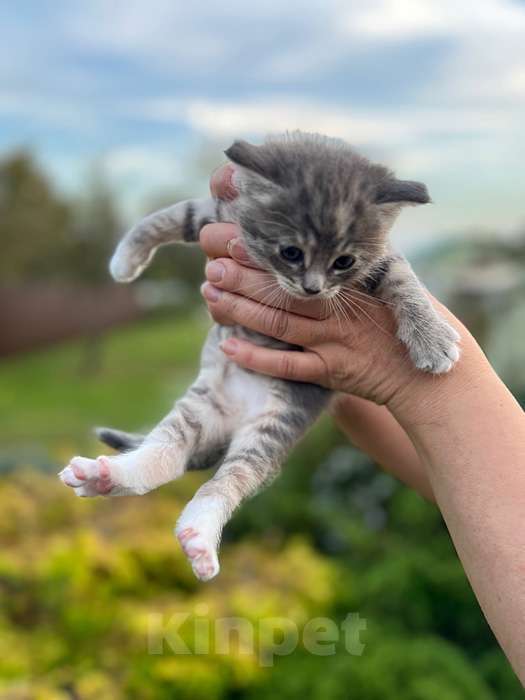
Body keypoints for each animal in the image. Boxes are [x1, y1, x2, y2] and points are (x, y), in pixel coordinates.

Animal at [58, 131, 458, 580]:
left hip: (271, 429)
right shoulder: (219, 212)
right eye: (291, 253)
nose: (313, 289)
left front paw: (431, 338)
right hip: (201, 408)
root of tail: (232, 421)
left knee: (230, 478)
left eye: (343, 261)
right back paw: (108, 475)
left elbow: (404, 279)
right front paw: (125, 257)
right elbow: (170, 214)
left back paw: (196, 534)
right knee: (168, 453)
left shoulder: (379, 258)